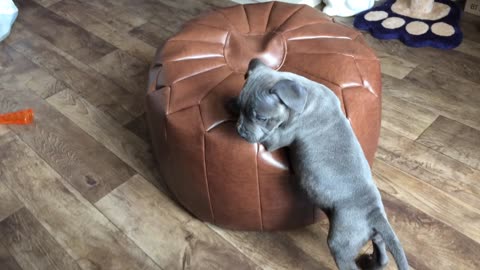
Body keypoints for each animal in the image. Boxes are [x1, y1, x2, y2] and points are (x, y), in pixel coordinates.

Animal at [232, 59, 408, 270]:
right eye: (240, 107)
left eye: (261, 118)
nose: (240, 131)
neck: (303, 97)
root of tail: (374, 215)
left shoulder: (278, 137)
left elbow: (269, 137)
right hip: (375, 235)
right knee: (382, 251)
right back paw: (372, 261)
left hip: (340, 243)